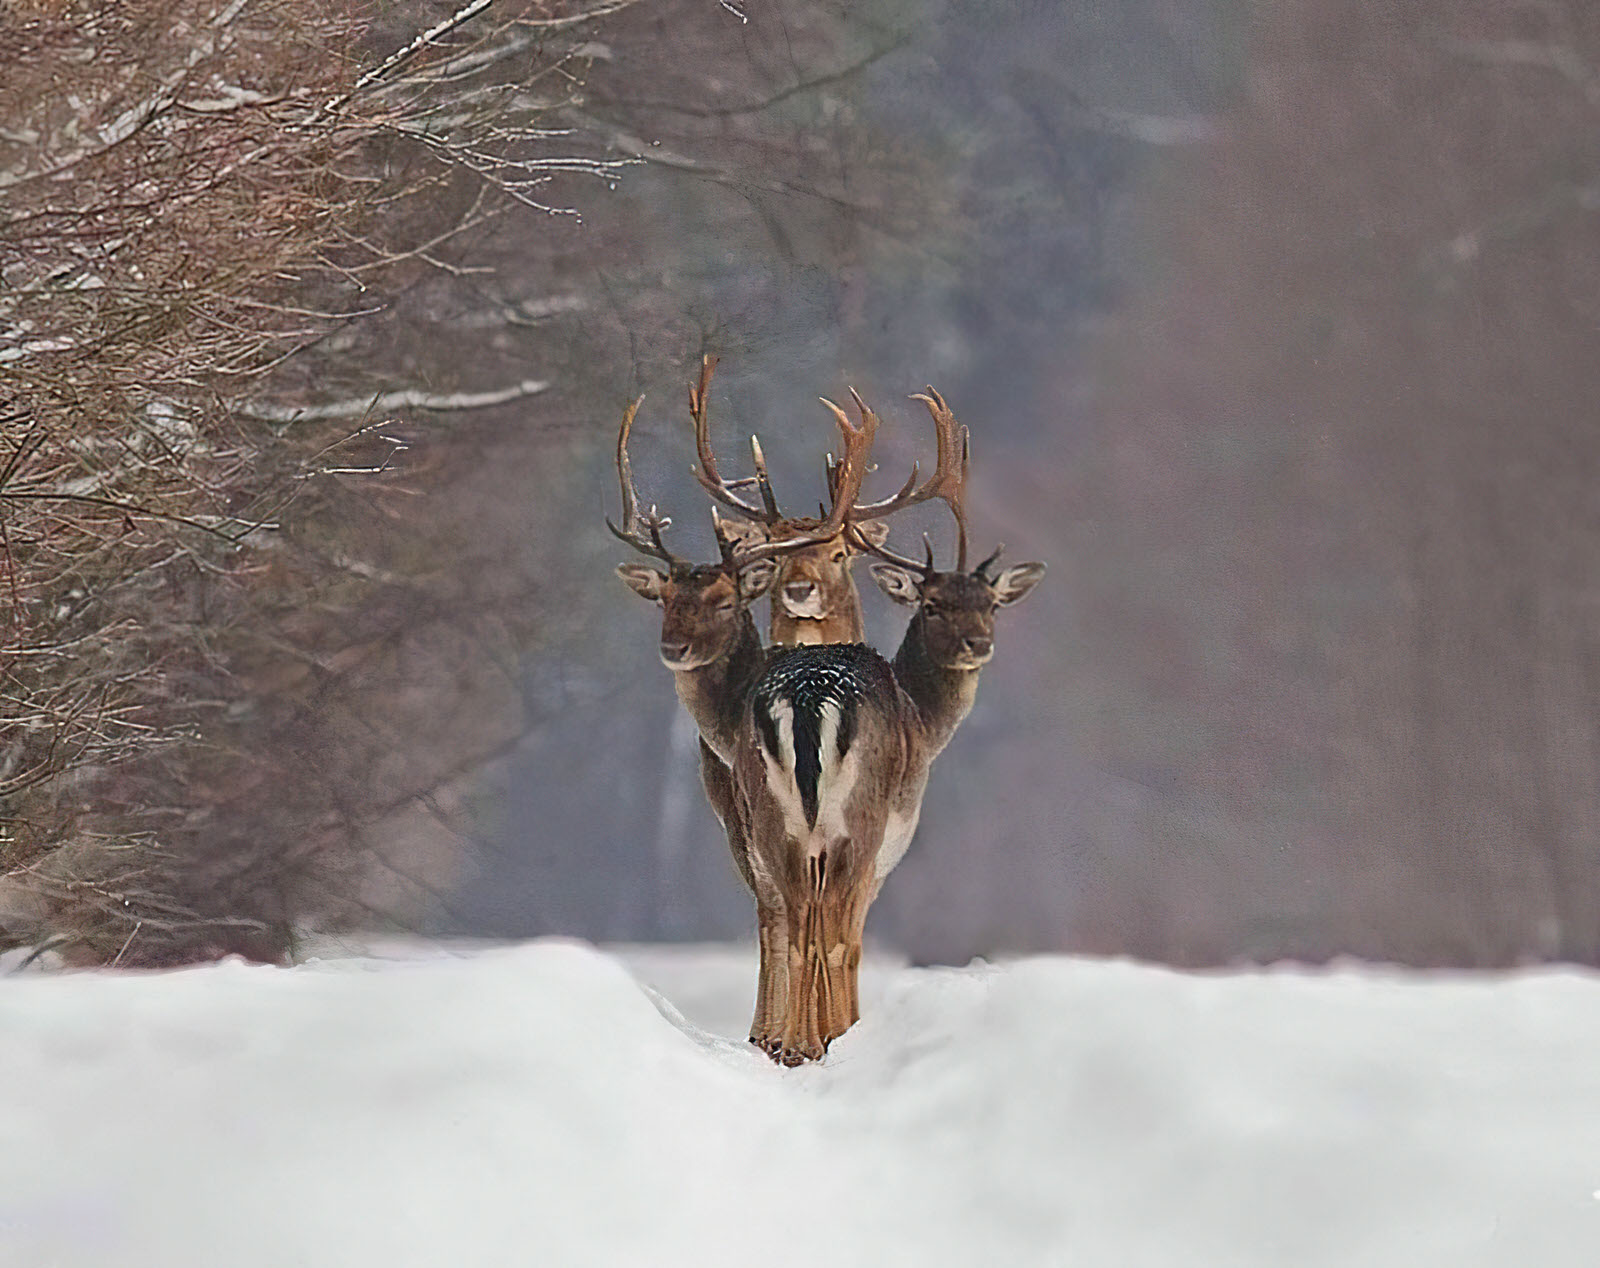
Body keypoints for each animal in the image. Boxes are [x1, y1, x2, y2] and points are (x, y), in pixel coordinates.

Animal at [729, 385, 1049, 1063]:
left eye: (990, 604)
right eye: (933, 605)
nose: (979, 645)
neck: (923, 719)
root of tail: (806, 700)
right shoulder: (888, 844)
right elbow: (850, 939)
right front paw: (839, 1034)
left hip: (771, 822)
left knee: (791, 921)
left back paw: (796, 1044)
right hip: (858, 821)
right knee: (828, 929)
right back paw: (822, 1041)